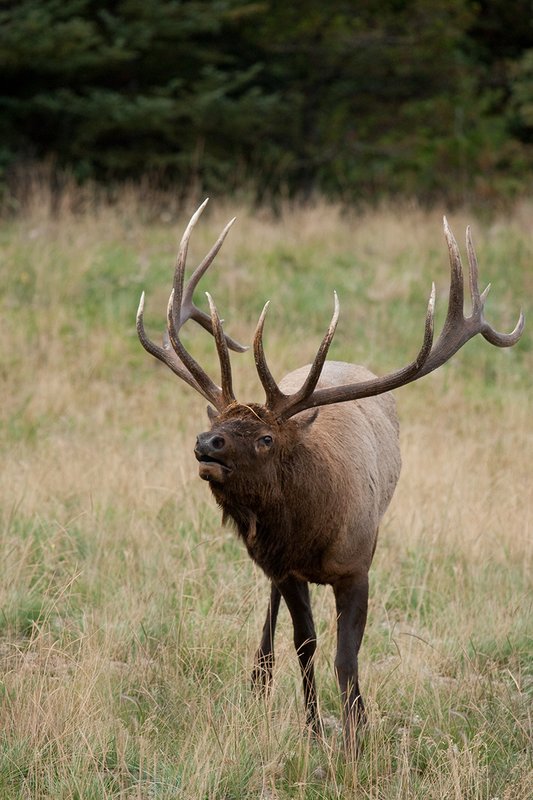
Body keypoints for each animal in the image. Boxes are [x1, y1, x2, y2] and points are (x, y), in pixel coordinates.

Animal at [136, 199, 524, 748]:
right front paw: (315, 728)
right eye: (219, 422)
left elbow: (347, 656)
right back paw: (258, 679)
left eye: (266, 438)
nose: (205, 442)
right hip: (271, 564)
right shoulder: (287, 568)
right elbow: (307, 644)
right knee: (272, 613)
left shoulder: (358, 564)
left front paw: (358, 735)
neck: (314, 533)